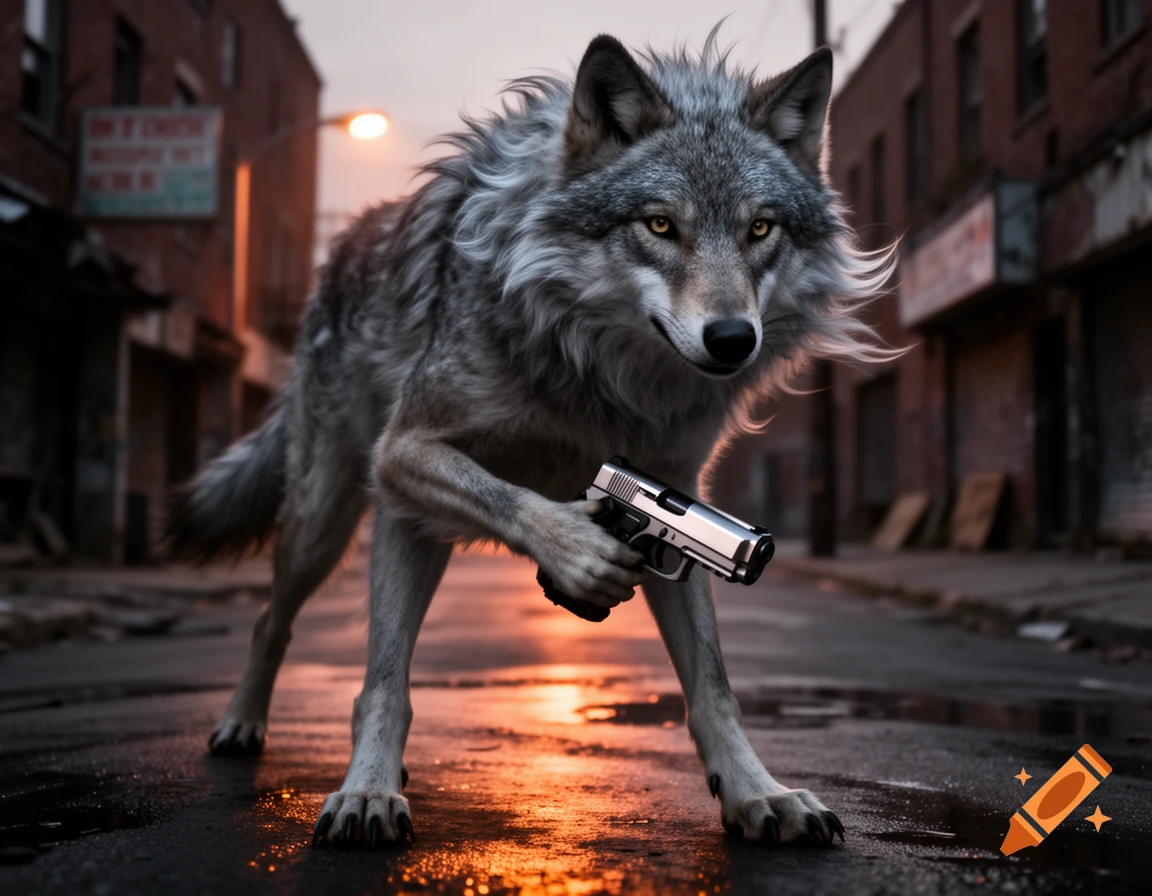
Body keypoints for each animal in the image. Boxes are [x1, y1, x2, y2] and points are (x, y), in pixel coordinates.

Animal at [166, 32, 894, 847]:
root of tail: (342, 251)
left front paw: (757, 794)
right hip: (338, 518)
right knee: (291, 628)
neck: (604, 383)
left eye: (760, 229)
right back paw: (259, 736)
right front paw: (366, 794)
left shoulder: (675, 511)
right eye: (660, 225)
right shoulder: (407, 452)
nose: (734, 339)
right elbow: (507, 520)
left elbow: (712, 685)